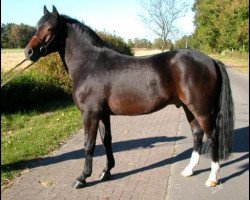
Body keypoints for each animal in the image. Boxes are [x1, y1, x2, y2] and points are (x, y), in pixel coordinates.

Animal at [24, 5, 233, 188]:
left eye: (50, 28)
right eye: (37, 25)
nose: (28, 52)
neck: (90, 64)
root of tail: (212, 60)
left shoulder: (90, 113)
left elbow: (89, 144)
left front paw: (82, 178)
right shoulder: (103, 114)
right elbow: (106, 140)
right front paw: (106, 172)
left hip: (201, 110)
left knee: (212, 136)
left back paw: (212, 178)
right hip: (188, 107)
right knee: (197, 134)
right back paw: (189, 170)